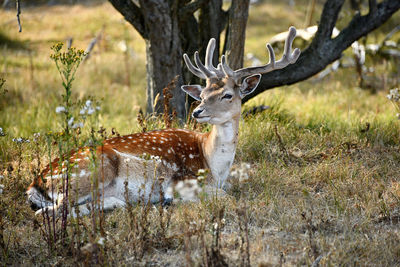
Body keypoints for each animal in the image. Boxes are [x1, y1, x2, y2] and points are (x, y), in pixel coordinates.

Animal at [25, 26, 300, 218]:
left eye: (227, 95)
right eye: (202, 94)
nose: (197, 112)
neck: (213, 164)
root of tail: (35, 184)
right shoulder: (184, 179)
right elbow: (226, 197)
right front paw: (173, 199)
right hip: (91, 169)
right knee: (49, 212)